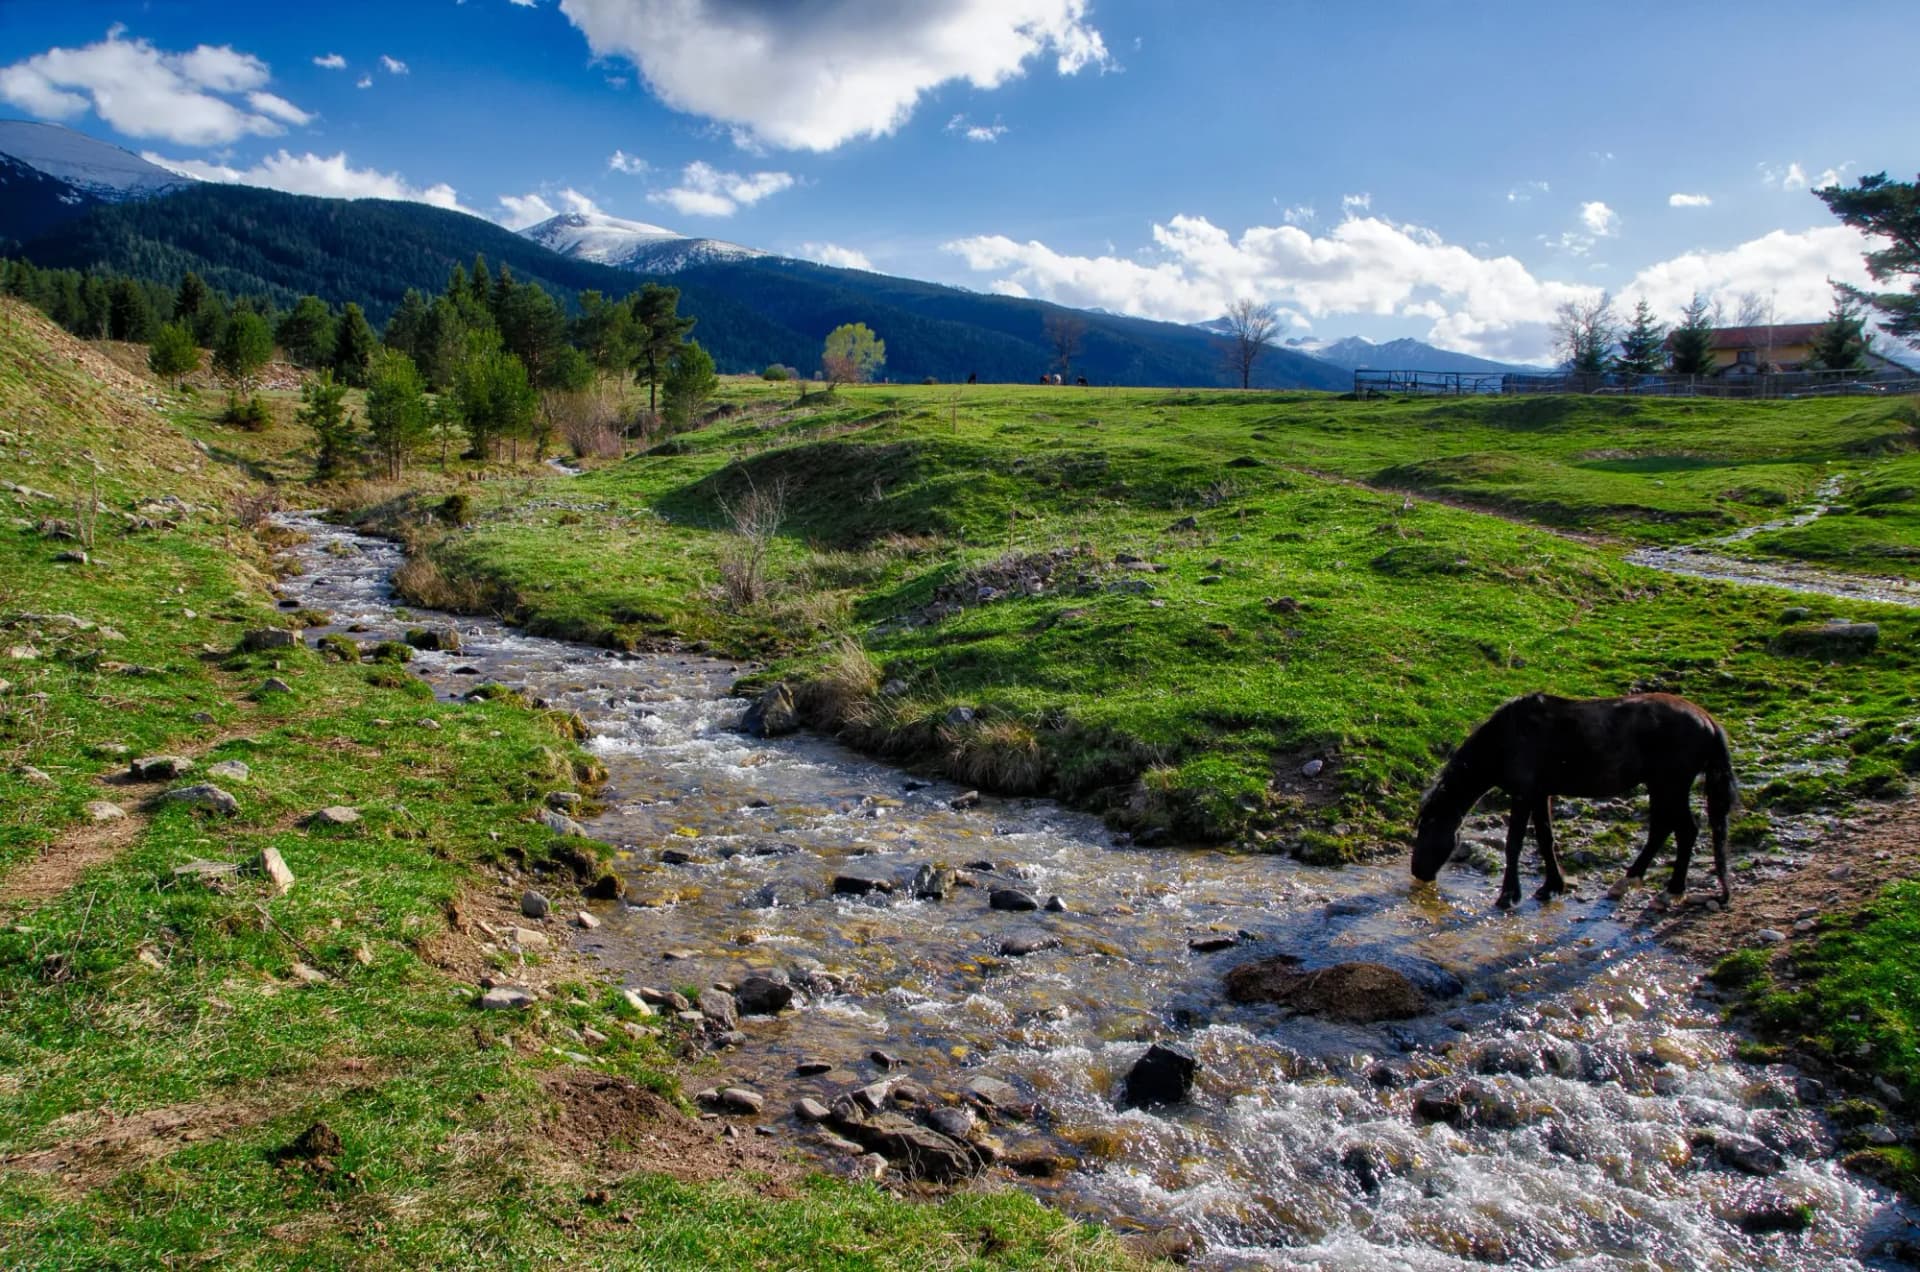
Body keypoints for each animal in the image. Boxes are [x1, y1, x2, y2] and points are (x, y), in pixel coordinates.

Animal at [1409, 692, 1737, 910]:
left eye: (1426, 830)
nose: (1418, 873)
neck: (1507, 738)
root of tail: (1707, 721)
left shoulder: (1524, 794)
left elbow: (1514, 843)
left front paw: (1507, 896)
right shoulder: (1540, 794)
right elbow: (1545, 838)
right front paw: (1551, 886)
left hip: (1670, 785)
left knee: (1685, 831)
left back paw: (1671, 891)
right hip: (1660, 786)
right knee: (1662, 829)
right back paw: (1628, 882)